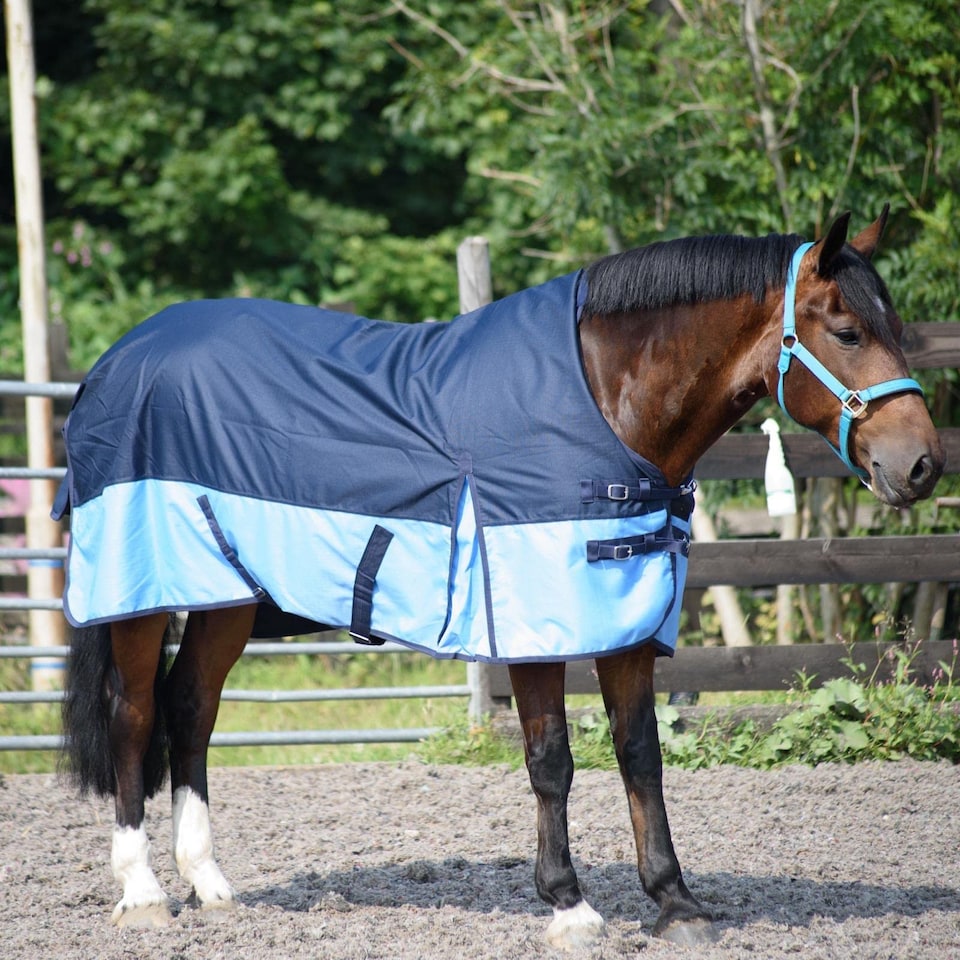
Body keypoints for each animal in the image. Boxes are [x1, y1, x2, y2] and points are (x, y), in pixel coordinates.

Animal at [59, 207, 943, 949]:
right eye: (847, 330)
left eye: (895, 327)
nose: (923, 465)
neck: (603, 401)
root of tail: (118, 359)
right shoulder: (531, 628)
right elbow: (551, 760)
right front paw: (569, 905)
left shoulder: (624, 622)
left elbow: (640, 755)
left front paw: (676, 903)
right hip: (140, 599)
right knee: (136, 716)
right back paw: (143, 893)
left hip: (225, 598)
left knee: (191, 711)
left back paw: (209, 884)